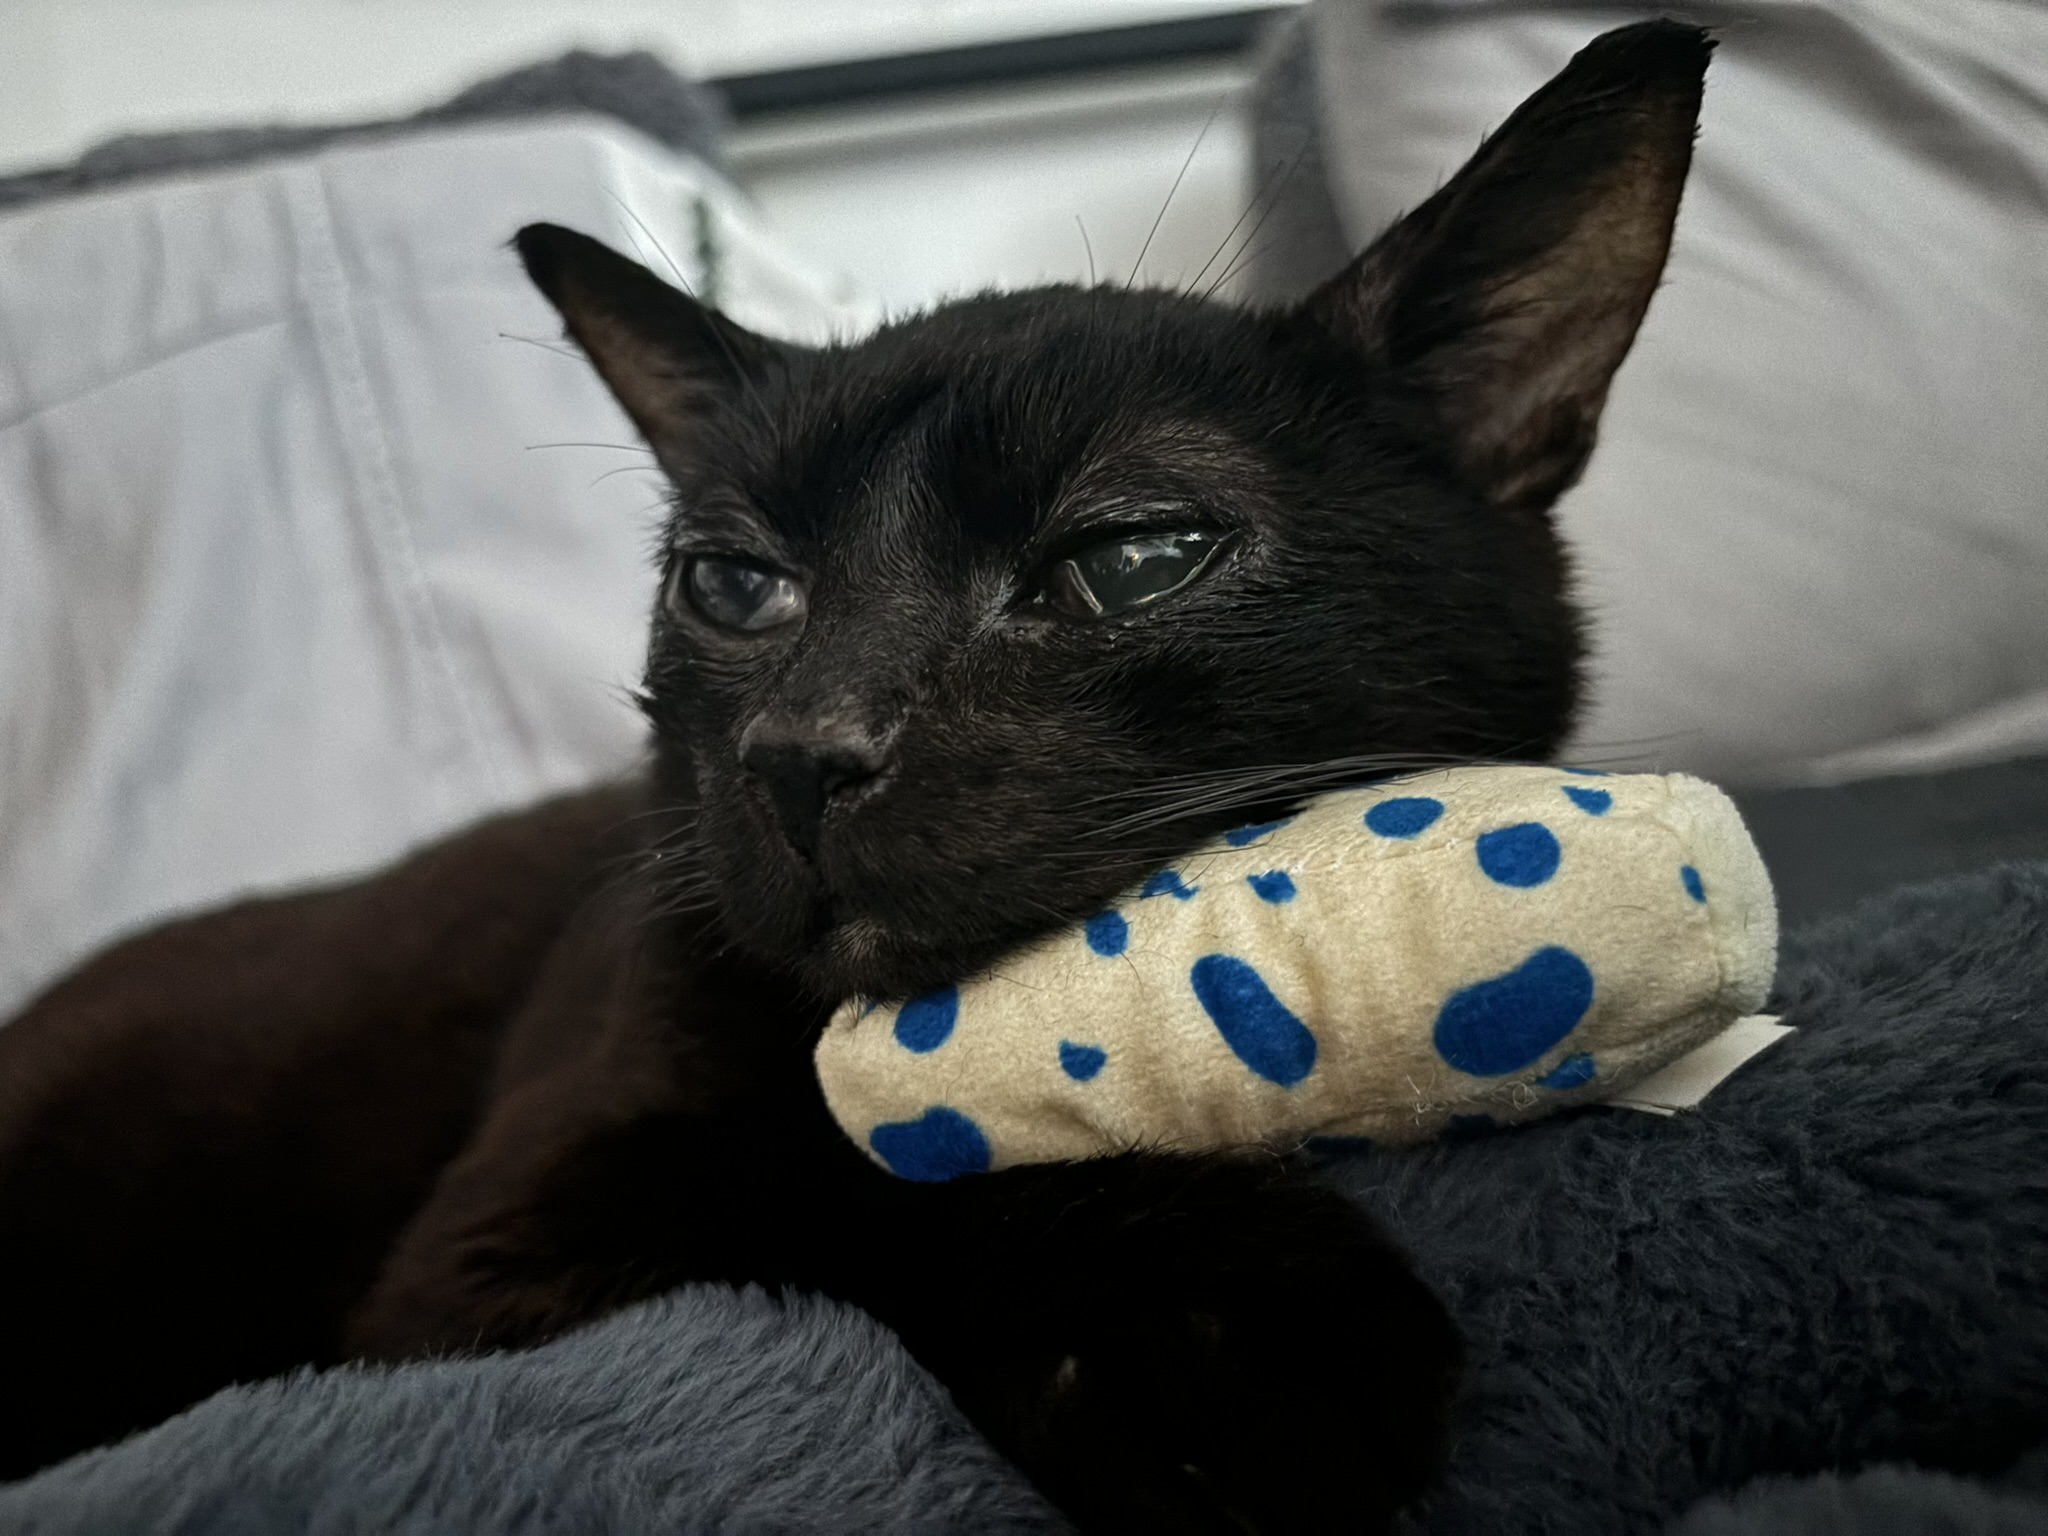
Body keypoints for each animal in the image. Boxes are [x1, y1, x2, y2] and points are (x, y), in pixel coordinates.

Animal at [0, 24, 1712, 1536]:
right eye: (733, 585)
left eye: (1134, 556)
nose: (801, 755)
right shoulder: (477, 1267)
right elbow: (836, 1183)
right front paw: (1229, 1320)